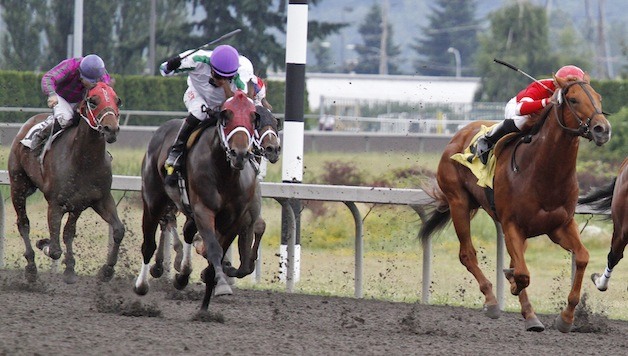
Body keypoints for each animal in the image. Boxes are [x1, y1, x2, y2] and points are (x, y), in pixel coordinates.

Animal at [7, 82, 124, 284]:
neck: (84, 160)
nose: (111, 129)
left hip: (76, 205)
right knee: (23, 223)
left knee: (69, 232)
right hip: (18, 185)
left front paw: (106, 270)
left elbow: (118, 230)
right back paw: (31, 267)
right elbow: (54, 250)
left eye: (118, 101)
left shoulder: (99, 199)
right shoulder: (55, 203)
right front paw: (44, 243)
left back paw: (69, 268)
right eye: (93, 101)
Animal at [136, 90, 262, 310]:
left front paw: (205, 306)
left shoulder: (235, 220)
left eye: (253, 117)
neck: (225, 173)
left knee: (187, 232)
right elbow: (213, 249)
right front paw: (222, 284)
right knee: (149, 244)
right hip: (153, 201)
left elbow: (218, 253)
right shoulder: (204, 210)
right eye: (226, 117)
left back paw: (183, 275)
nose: (239, 154)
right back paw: (142, 284)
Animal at [420, 73, 612, 332]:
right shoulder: (512, 224)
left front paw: (566, 317)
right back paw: (491, 301)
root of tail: (460, 133)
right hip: (458, 202)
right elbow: (522, 273)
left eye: (599, 97)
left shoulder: (560, 225)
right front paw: (523, 303)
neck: (543, 171)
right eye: (573, 99)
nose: (602, 129)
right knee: (467, 254)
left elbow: (581, 257)